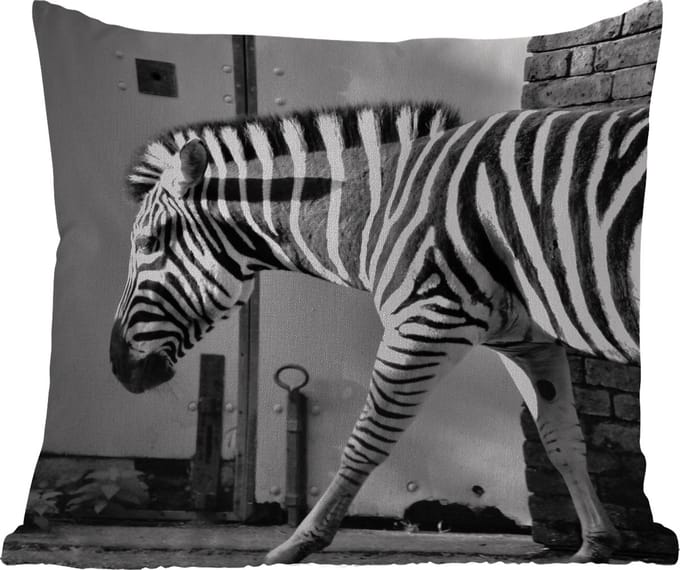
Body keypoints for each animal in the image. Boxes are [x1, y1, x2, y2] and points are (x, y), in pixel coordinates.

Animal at [110, 100, 648, 563]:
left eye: (148, 243)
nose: (118, 366)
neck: (378, 209)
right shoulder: (527, 341)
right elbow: (562, 441)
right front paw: (597, 542)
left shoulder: (425, 318)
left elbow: (366, 438)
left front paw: (300, 541)